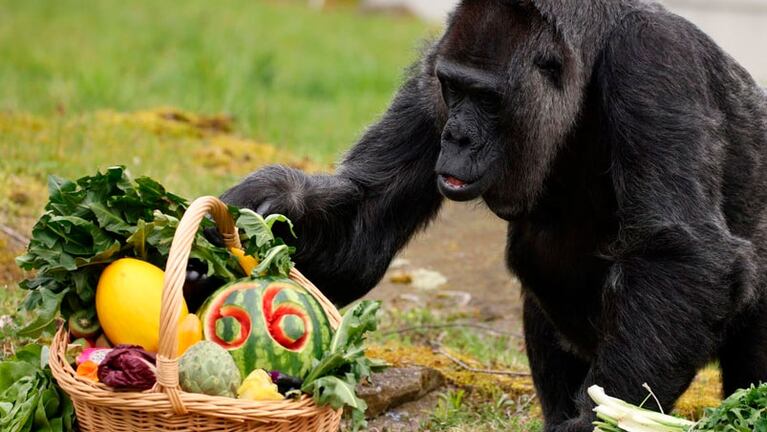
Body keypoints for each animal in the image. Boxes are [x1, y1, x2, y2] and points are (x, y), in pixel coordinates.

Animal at [222, 1, 767, 430]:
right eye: (453, 89)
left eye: (486, 98)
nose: (456, 137)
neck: (588, 64)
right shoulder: (431, 67)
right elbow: (366, 221)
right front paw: (265, 207)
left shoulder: (655, 60)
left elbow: (685, 255)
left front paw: (596, 422)